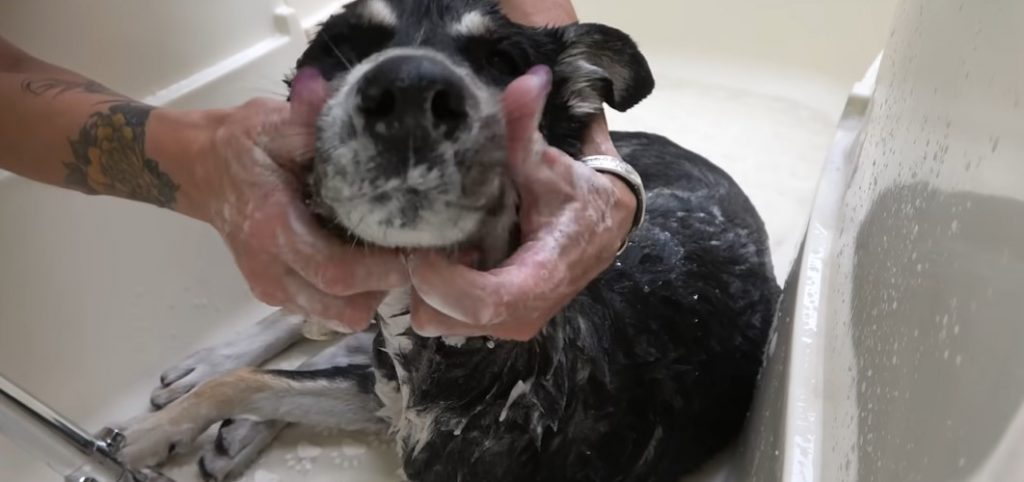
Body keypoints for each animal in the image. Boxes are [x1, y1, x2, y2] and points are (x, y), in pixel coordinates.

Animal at [112, 1, 778, 480]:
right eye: (344, 46)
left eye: (504, 61)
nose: (407, 90)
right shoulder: (383, 390)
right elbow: (249, 381)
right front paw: (146, 437)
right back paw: (210, 367)